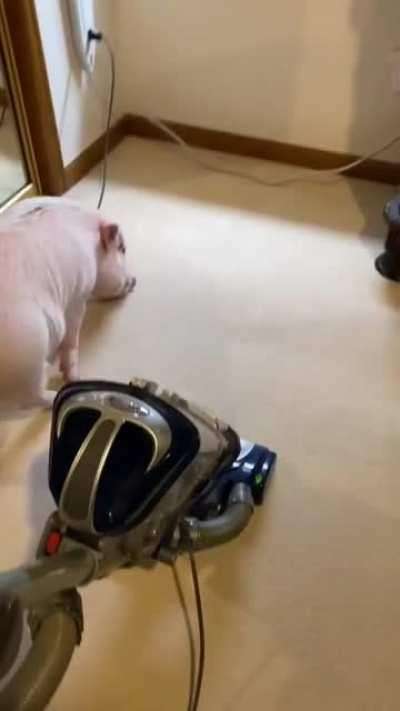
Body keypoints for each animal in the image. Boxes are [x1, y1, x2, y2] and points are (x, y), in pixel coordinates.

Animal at [0, 196, 136, 412]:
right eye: (122, 249)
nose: (135, 281)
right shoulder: (79, 293)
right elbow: (72, 335)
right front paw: (75, 376)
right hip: (27, 359)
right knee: (34, 398)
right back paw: (56, 395)